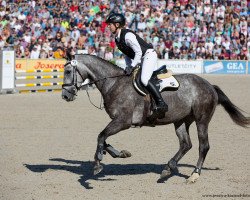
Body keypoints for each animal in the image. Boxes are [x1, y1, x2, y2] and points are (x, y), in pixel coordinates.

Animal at [61, 54, 250, 183]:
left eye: (68, 71)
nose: (65, 95)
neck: (113, 84)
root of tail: (209, 85)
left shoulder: (123, 121)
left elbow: (101, 136)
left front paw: (98, 163)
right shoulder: (118, 122)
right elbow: (103, 138)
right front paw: (120, 153)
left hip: (201, 120)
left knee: (203, 146)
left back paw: (194, 174)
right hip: (181, 120)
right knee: (185, 144)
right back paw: (168, 168)